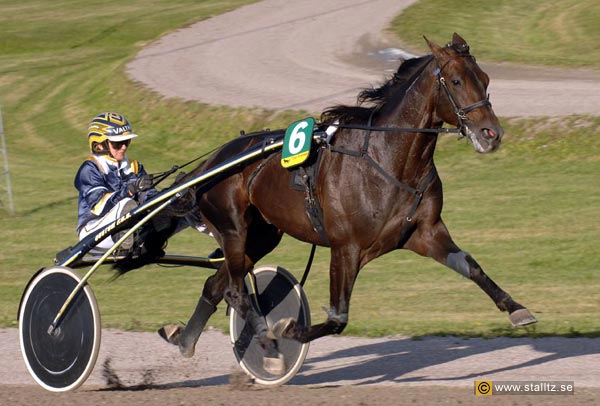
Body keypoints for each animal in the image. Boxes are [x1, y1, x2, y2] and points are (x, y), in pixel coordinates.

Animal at [127, 33, 540, 372]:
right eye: (455, 81)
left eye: (485, 79)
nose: (491, 134)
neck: (389, 160)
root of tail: (214, 161)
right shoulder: (346, 247)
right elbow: (338, 317)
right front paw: (288, 330)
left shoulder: (425, 232)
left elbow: (471, 266)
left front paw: (517, 309)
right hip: (232, 229)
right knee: (234, 290)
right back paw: (268, 345)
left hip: (261, 236)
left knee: (217, 284)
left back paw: (184, 340)